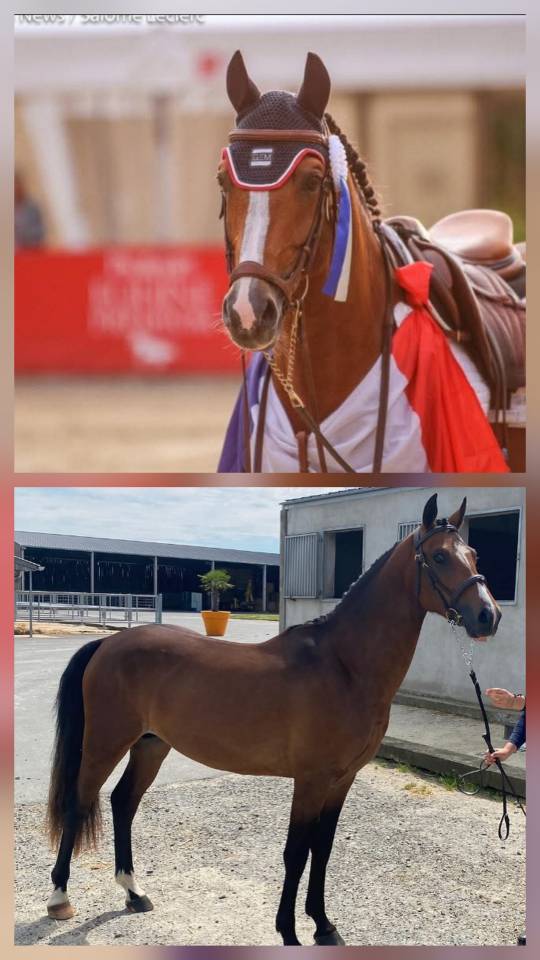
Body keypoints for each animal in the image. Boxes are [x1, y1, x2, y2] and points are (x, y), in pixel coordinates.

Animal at [45, 493, 501, 946]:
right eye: (439, 557)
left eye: (474, 554)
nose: (488, 616)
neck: (344, 665)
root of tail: (107, 643)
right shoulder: (311, 779)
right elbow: (296, 852)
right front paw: (290, 932)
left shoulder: (342, 779)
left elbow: (323, 848)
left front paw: (324, 926)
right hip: (105, 743)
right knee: (78, 802)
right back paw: (59, 898)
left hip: (151, 744)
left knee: (124, 802)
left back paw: (134, 892)